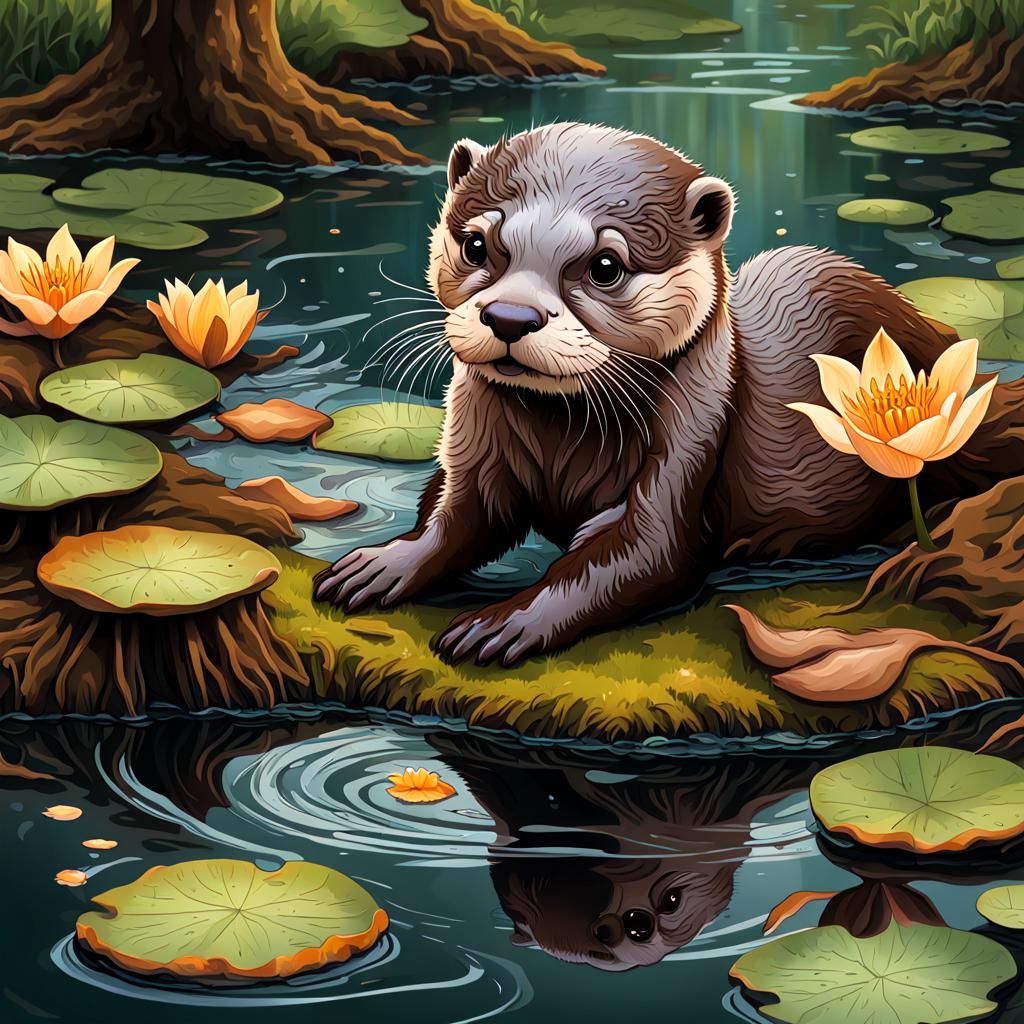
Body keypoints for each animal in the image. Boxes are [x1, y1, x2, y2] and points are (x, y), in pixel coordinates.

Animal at [314, 121, 967, 666]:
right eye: (477, 245)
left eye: (605, 265)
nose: (510, 316)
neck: (560, 444)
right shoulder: (473, 442)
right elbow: (455, 516)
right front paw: (381, 563)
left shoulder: (693, 435)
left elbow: (639, 555)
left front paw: (501, 622)